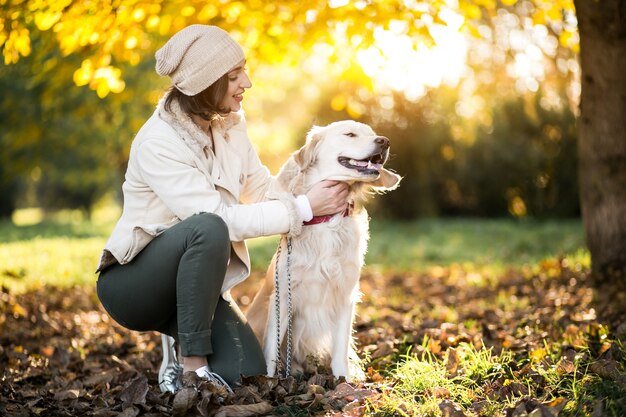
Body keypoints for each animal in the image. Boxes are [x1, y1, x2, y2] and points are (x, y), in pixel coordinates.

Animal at [245, 118, 400, 378]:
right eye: (350, 134)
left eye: (373, 133)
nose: (385, 141)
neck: (327, 219)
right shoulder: (283, 295)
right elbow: (271, 350)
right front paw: (268, 381)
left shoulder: (345, 293)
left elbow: (340, 348)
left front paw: (342, 379)